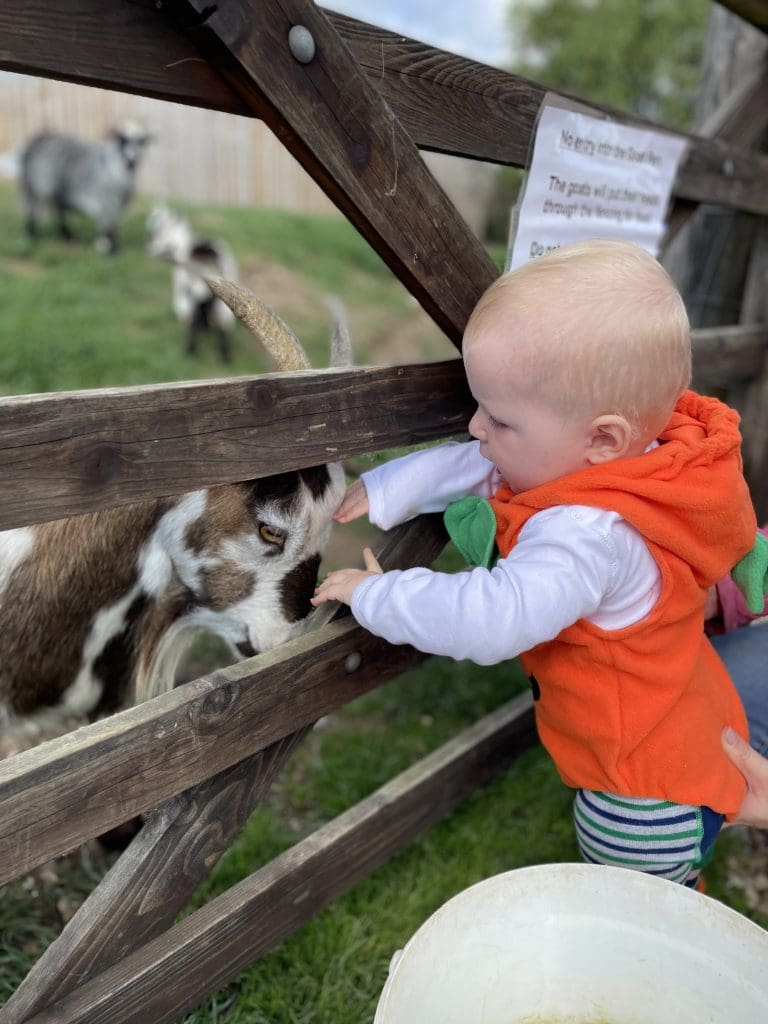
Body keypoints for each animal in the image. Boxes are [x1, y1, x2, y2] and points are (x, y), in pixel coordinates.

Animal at [19, 120, 151, 254]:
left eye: (141, 141)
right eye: (122, 140)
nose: (132, 160)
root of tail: (37, 141)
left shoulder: (117, 205)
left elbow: (113, 225)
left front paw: (112, 246)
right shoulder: (107, 202)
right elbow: (108, 227)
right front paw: (111, 250)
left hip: (56, 191)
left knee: (59, 211)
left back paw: (67, 236)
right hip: (37, 188)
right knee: (33, 210)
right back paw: (32, 235)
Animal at [146, 202, 237, 360]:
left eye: (159, 219)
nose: (149, 247)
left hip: (190, 290)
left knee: (195, 320)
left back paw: (191, 351)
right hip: (224, 295)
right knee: (221, 324)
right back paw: (224, 357)